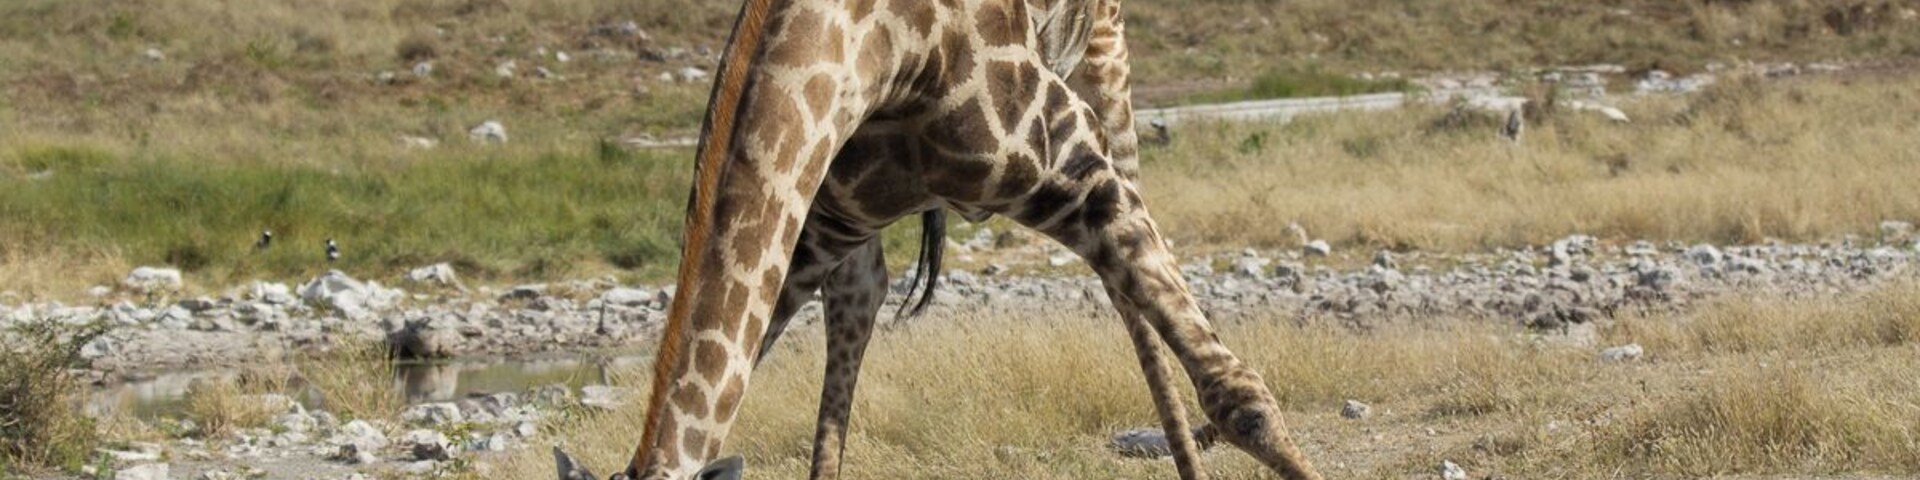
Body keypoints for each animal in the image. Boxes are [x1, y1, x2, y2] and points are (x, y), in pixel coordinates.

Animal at [578, 0, 1325, 478]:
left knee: (1137, 306)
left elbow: (1240, 397)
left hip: (1104, 71)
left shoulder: (1075, 167)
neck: (884, 48)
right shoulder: (813, 233)